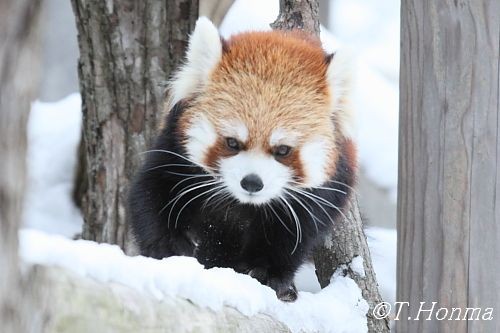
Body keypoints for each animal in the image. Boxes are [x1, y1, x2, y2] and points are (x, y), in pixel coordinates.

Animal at [128, 16, 356, 300]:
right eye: (232, 143)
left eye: (282, 150)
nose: (252, 182)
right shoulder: (174, 149)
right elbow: (149, 192)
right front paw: (167, 246)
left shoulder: (321, 194)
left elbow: (295, 234)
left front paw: (268, 273)